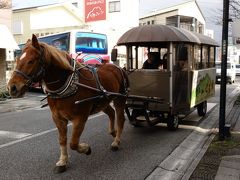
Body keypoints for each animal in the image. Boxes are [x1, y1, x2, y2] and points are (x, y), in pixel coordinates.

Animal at [7, 34, 129, 173]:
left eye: (31, 61)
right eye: (17, 59)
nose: (12, 88)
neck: (69, 84)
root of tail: (119, 68)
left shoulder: (80, 118)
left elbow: (73, 143)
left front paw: (86, 149)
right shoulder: (58, 118)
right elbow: (62, 140)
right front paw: (63, 161)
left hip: (120, 99)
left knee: (120, 119)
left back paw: (116, 141)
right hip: (103, 101)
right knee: (111, 113)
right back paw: (113, 132)